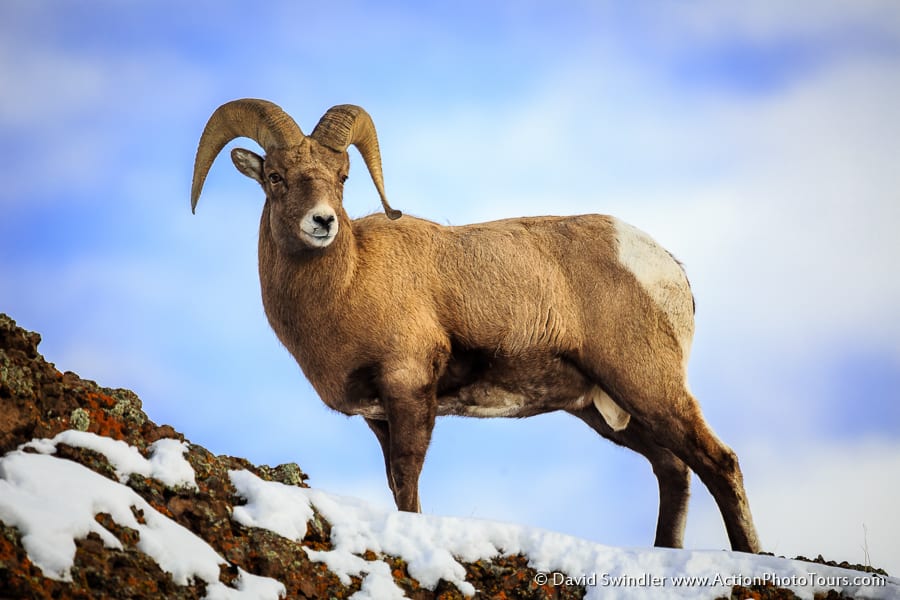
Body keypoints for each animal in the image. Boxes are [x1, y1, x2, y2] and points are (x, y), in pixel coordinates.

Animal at [190, 97, 760, 552]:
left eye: (343, 179)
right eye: (275, 178)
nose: (323, 222)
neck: (350, 282)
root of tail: (668, 268)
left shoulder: (409, 388)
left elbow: (408, 481)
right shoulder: (380, 416)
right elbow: (395, 484)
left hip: (648, 385)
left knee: (718, 462)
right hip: (606, 410)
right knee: (674, 469)